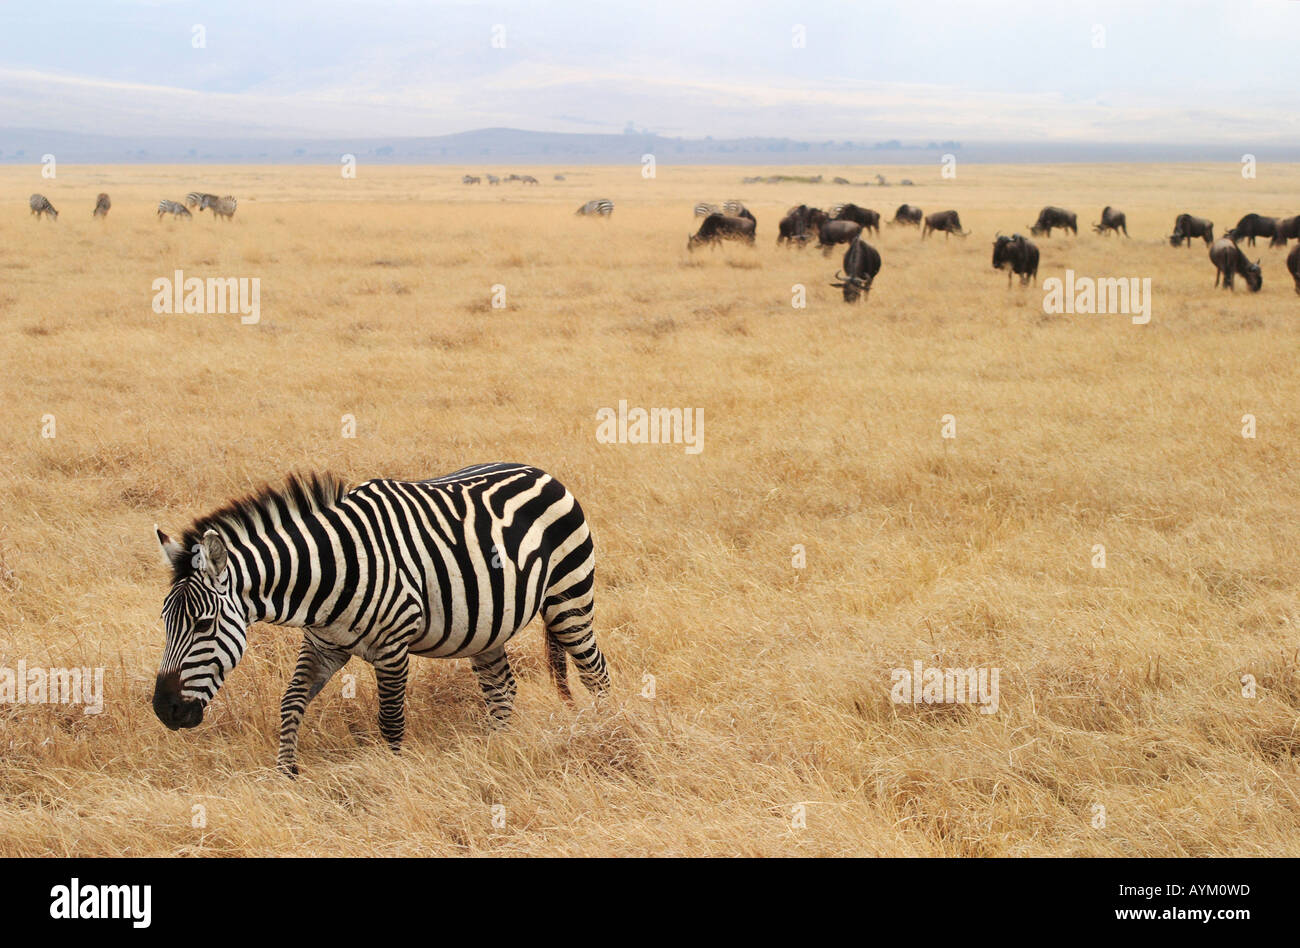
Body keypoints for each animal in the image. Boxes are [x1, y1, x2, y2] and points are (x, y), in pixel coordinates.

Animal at [150, 462, 608, 775]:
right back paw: (498, 750)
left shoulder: (393, 647)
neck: (328, 574)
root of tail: (542, 472)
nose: (164, 710)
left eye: (203, 625)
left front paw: (393, 775)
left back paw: (604, 731)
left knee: (595, 672)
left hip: (568, 601)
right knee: (502, 692)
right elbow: (291, 702)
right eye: (166, 623)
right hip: (488, 628)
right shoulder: (322, 646)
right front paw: (285, 774)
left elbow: (389, 720)